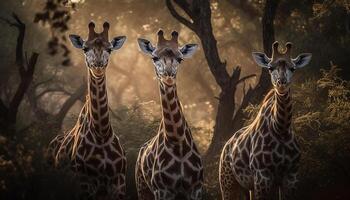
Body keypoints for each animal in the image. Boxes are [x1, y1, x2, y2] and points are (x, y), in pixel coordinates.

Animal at [47, 21, 127, 199]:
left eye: (109, 49)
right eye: (85, 48)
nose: (97, 66)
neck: (102, 133)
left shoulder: (118, 181)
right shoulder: (84, 181)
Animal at [135, 30, 204, 200]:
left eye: (180, 58)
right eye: (154, 57)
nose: (168, 75)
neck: (178, 142)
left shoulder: (196, 188)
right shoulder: (162, 190)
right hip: (143, 188)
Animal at [219, 41, 312, 199]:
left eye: (293, 68)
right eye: (270, 67)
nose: (281, 83)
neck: (280, 129)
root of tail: (226, 146)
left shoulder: (291, 175)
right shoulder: (262, 175)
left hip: (247, 187)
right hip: (228, 184)